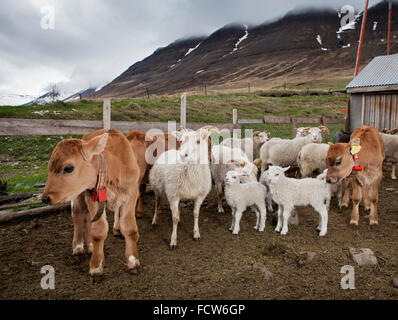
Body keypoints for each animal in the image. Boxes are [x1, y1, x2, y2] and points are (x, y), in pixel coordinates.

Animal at [41, 129, 140, 276]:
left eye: (68, 168)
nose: (45, 198)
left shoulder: (131, 195)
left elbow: (130, 229)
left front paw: (133, 261)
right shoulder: (93, 197)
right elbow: (98, 231)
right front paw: (96, 266)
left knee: (87, 218)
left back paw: (91, 246)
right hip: (80, 195)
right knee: (78, 215)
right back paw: (78, 246)